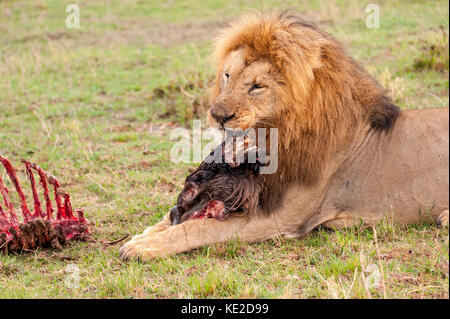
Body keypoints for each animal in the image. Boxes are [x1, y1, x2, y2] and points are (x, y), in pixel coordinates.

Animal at [118, 13, 446, 262]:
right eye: (227, 76)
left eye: (256, 86)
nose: (218, 114)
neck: (277, 134)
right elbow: (171, 218)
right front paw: (144, 236)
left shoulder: (281, 217)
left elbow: (200, 229)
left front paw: (145, 246)